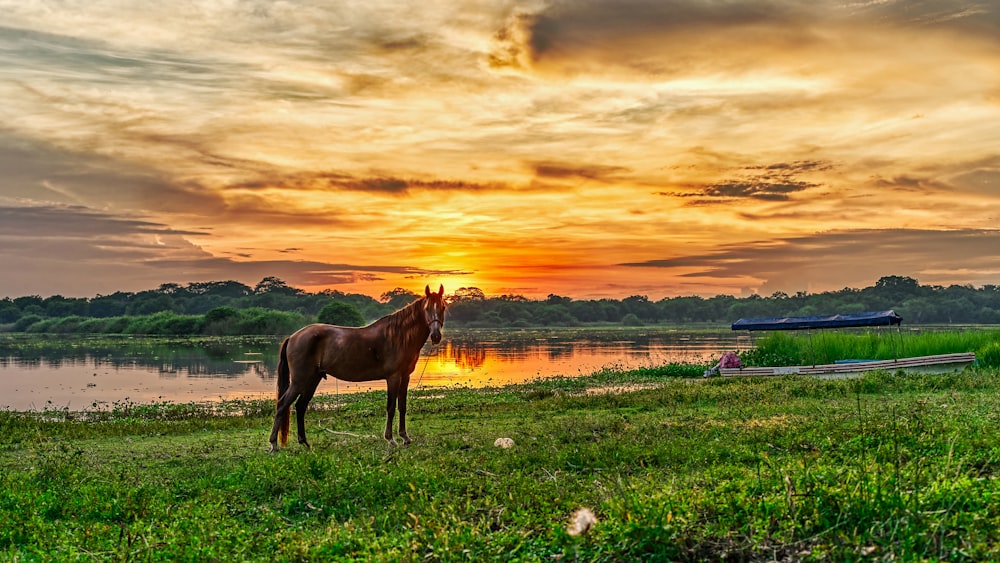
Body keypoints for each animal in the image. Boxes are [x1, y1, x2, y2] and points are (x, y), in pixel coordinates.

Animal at [272, 284, 448, 452]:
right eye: (427, 308)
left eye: (443, 307)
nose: (436, 336)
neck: (398, 336)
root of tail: (292, 337)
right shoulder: (393, 377)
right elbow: (391, 407)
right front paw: (390, 439)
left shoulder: (405, 377)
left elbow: (402, 407)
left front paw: (405, 437)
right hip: (299, 381)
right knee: (282, 405)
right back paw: (274, 445)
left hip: (312, 380)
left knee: (300, 406)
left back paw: (305, 443)